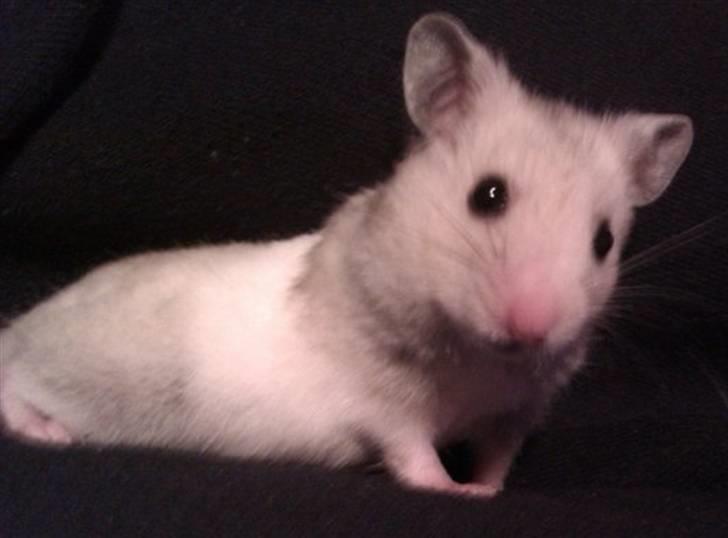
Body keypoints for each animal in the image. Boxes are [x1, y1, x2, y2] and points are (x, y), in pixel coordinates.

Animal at [0, 13, 693, 497]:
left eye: (603, 241)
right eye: (488, 195)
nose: (531, 329)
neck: (474, 359)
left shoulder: (515, 412)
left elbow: (497, 455)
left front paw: (486, 489)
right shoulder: (383, 405)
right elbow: (413, 454)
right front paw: (454, 491)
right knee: (11, 385)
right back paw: (49, 432)